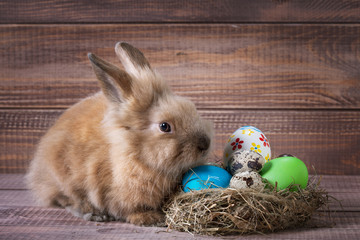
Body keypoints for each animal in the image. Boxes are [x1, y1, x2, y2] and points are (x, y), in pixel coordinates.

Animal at [27, 42, 214, 226]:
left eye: (192, 107)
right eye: (164, 126)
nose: (205, 144)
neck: (136, 155)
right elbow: (129, 210)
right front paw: (151, 218)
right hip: (63, 179)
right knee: (65, 199)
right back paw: (94, 214)